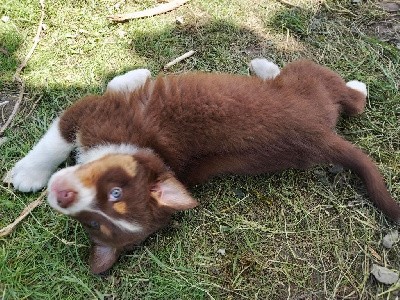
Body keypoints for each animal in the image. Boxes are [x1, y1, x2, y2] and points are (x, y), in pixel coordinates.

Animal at [10, 58, 398, 274]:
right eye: (91, 222)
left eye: (115, 194)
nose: (61, 196)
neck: (150, 153)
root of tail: (322, 136)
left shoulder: (93, 113)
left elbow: (57, 137)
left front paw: (26, 174)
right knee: (354, 105)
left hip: (306, 76)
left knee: (350, 95)